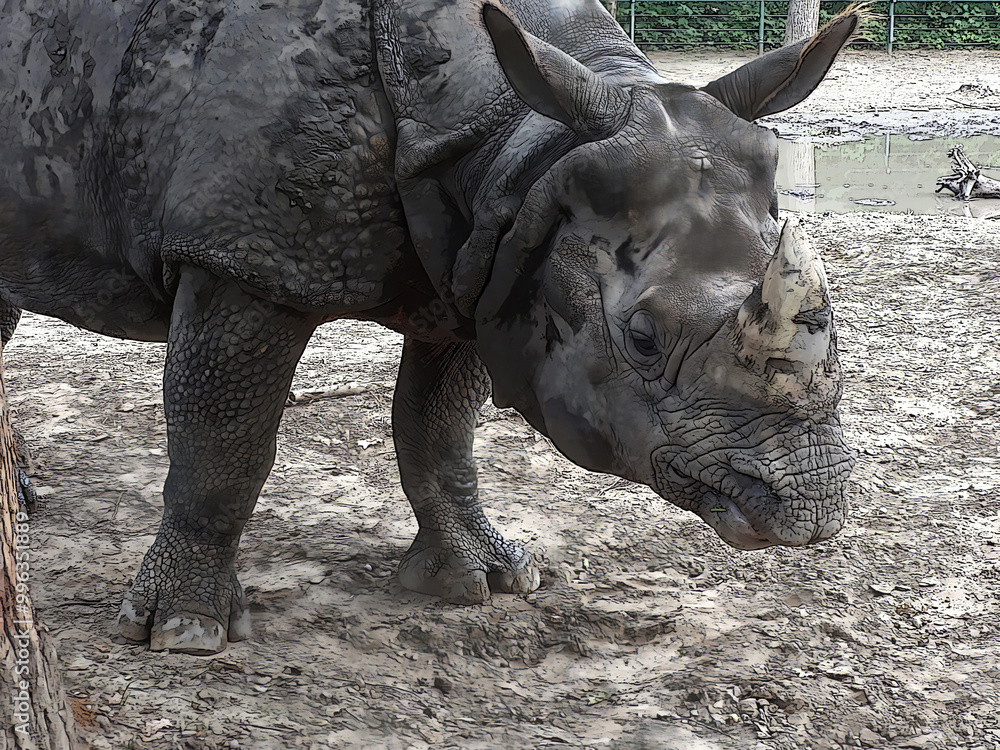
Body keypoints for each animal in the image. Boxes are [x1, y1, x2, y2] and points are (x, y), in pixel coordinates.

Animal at [0, 0, 858, 654]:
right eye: (643, 339)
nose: (809, 512)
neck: (521, 140)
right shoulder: (241, 259)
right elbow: (223, 444)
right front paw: (184, 631)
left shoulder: (486, 262)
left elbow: (439, 429)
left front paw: (485, 580)